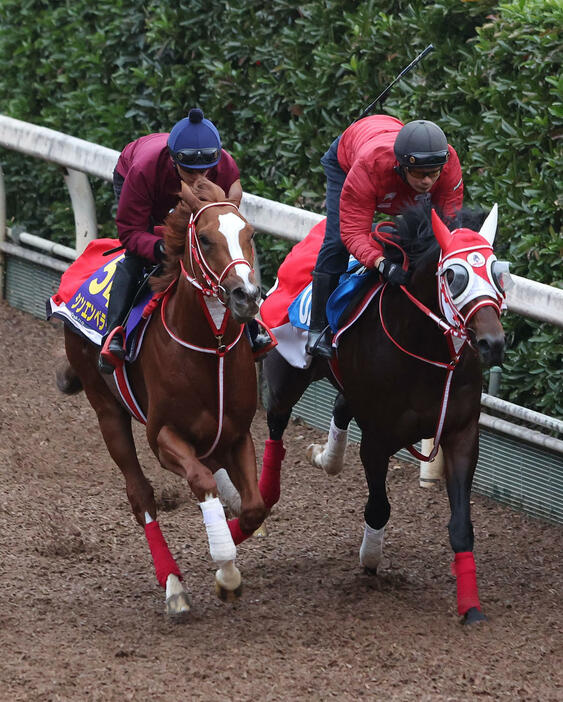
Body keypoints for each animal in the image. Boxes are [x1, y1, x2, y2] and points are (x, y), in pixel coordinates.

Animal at [56, 180, 268, 616]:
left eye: (250, 234)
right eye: (205, 238)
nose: (246, 296)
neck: (213, 346)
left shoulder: (238, 433)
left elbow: (254, 507)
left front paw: (229, 545)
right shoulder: (163, 437)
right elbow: (199, 479)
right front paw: (224, 569)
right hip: (107, 410)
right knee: (141, 496)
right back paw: (173, 586)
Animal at [262, 205, 508, 628]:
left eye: (496, 271)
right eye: (453, 275)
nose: (492, 343)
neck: (423, 351)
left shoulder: (461, 432)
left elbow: (462, 525)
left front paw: (471, 607)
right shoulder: (376, 440)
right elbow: (379, 507)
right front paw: (370, 559)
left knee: (340, 406)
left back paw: (325, 457)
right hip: (285, 375)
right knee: (274, 428)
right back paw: (261, 500)